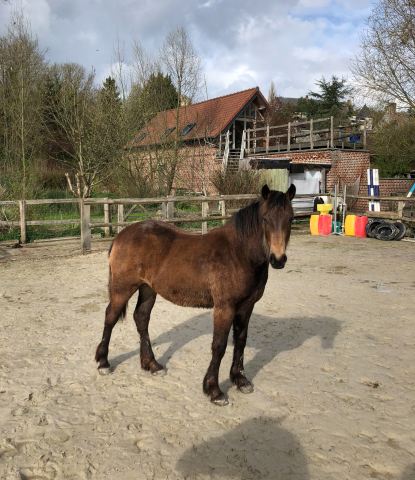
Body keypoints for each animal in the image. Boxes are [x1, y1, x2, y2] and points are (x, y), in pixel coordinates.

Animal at [95, 185, 296, 404]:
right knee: (110, 317)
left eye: (291, 218)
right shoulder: (224, 308)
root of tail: (122, 235)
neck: (239, 253)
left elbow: (240, 341)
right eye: (266, 219)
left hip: (148, 289)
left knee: (141, 318)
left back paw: (152, 365)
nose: (278, 259)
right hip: (123, 288)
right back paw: (103, 363)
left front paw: (240, 380)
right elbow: (219, 346)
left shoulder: (246, 307)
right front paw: (214, 390)